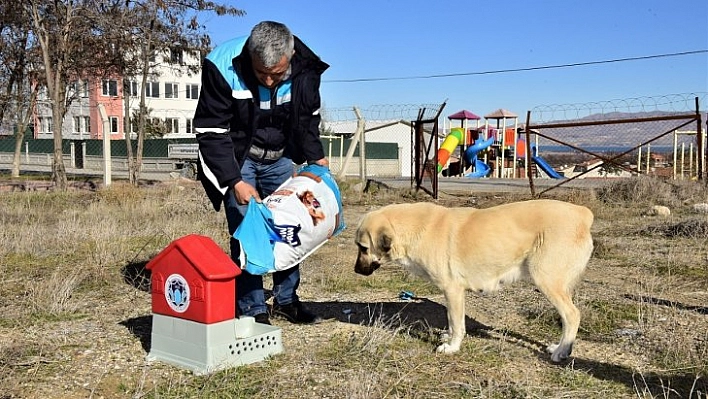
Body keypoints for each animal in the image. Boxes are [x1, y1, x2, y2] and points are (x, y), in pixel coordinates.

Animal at [354, 200, 592, 362]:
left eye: (363, 248)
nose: (356, 270)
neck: (417, 228)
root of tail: (583, 214)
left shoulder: (452, 290)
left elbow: (456, 323)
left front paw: (452, 347)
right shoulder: (452, 294)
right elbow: (452, 321)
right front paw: (448, 338)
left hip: (546, 281)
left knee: (572, 315)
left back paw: (562, 351)